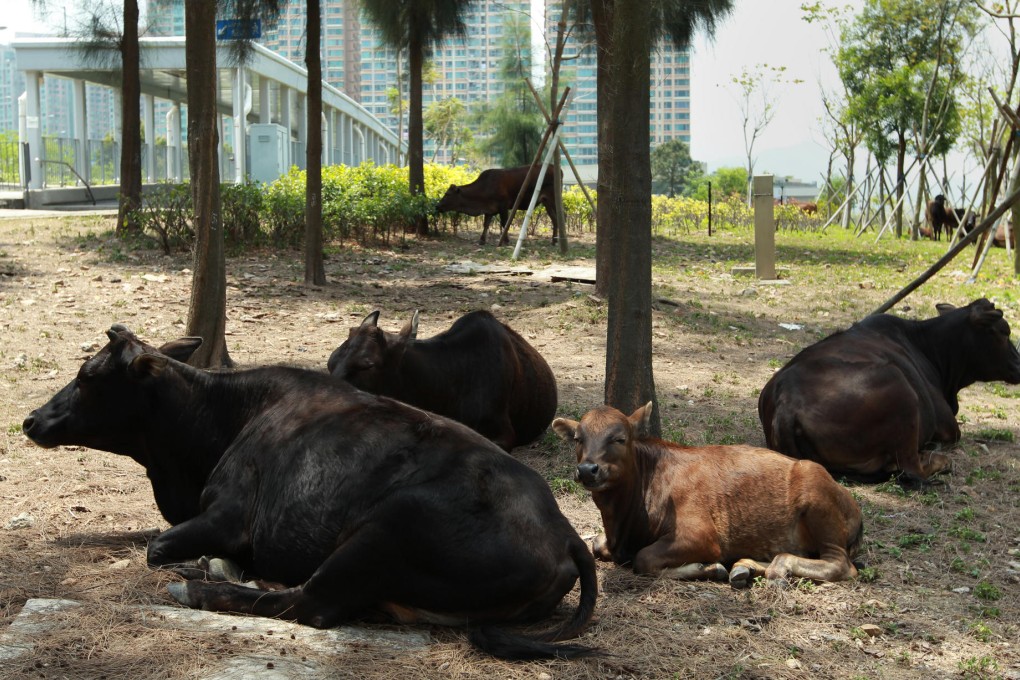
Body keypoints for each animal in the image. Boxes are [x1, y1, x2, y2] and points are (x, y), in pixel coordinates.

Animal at [22, 325, 597, 660]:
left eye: (88, 376)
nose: (30, 420)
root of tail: (566, 533)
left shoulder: (229, 515)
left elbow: (156, 547)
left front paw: (210, 566)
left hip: (386, 528)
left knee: (310, 603)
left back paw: (203, 588)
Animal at [551, 403, 863, 588]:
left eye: (619, 438)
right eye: (578, 438)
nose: (588, 469)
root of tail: (855, 511)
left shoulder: (702, 534)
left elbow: (644, 559)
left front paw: (708, 567)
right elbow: (597, 544)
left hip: (819, 501)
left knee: (841, 565)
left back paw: (774, 568)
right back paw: (745, 567)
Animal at [759, 299, 1020, 486]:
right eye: (1004, 331)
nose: (1019, 363)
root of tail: (786, 402)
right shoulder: (947, 425)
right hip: (900, 387)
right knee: (910, 469)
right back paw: (939, 460)